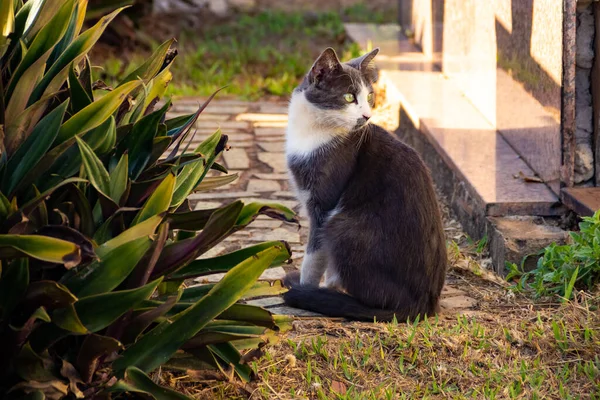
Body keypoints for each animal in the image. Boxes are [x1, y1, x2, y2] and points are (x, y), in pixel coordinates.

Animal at [284, 47, 448, 322]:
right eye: (349, 97)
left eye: (369, 96)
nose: (367, 116)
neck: (314, 132)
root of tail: (423, 305)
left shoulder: (323, 205)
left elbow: (314, 256)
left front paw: (306, 288)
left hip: (343, 225)